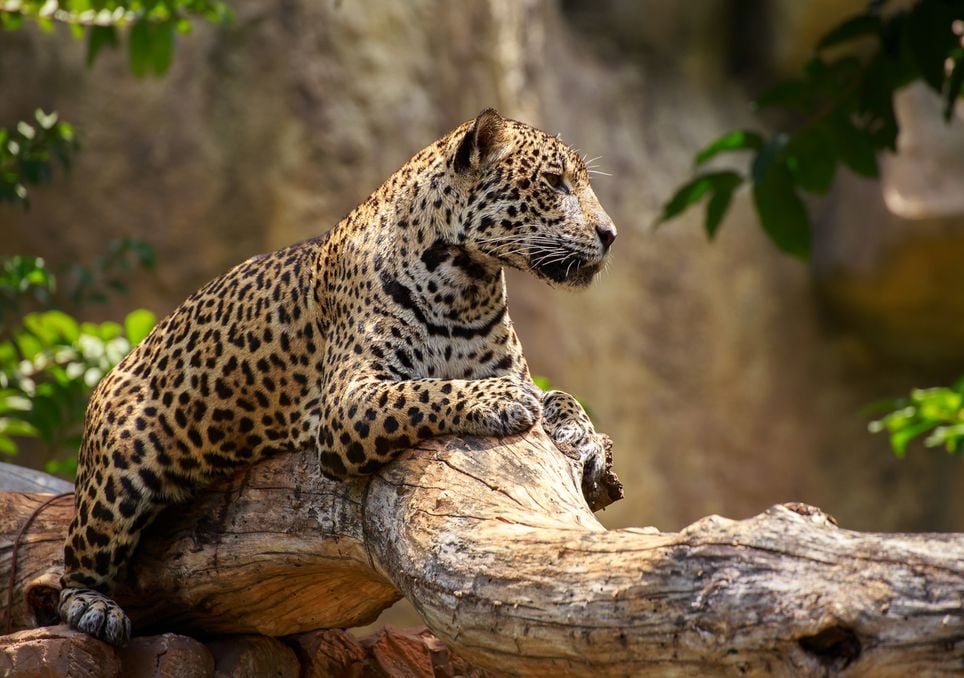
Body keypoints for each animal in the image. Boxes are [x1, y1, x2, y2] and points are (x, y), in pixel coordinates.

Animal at [58, 108, 618, 646]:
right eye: (554, 182)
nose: (611, 235)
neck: (466, 284)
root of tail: (117, 368)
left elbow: (561, 396)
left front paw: (587, 440)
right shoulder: (349, 402)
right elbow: (426, 390)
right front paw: (498, 400)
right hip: (119, 473)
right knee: (72, 564)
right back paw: (94, 608)